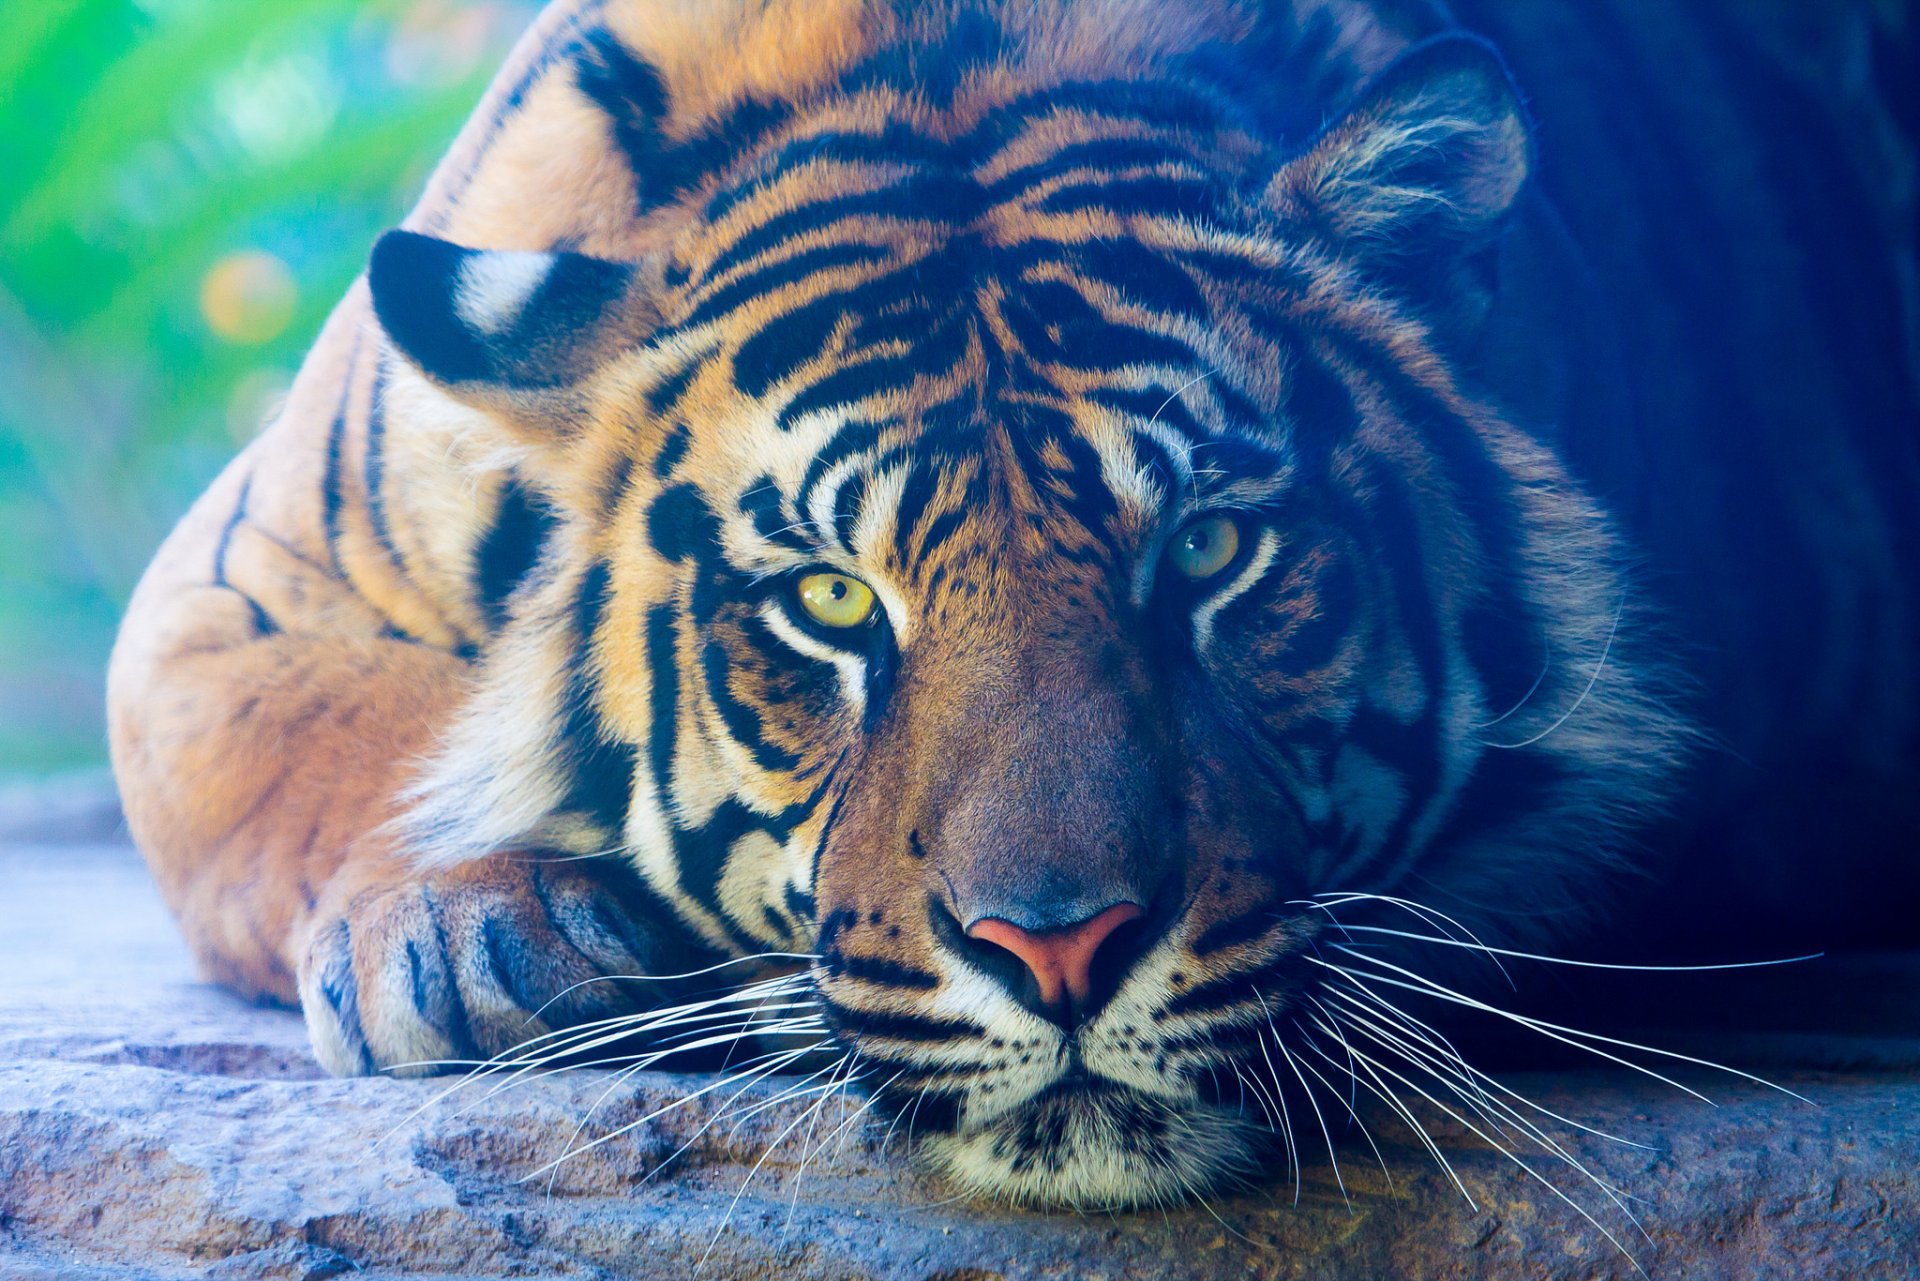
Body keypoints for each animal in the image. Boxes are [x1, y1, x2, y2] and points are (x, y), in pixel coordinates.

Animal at [107, 0, 1919, 1211]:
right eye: (830, 598)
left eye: (1210, 551)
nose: (1063, 952)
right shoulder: (214, 601)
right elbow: (350, 734)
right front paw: (471, 938)